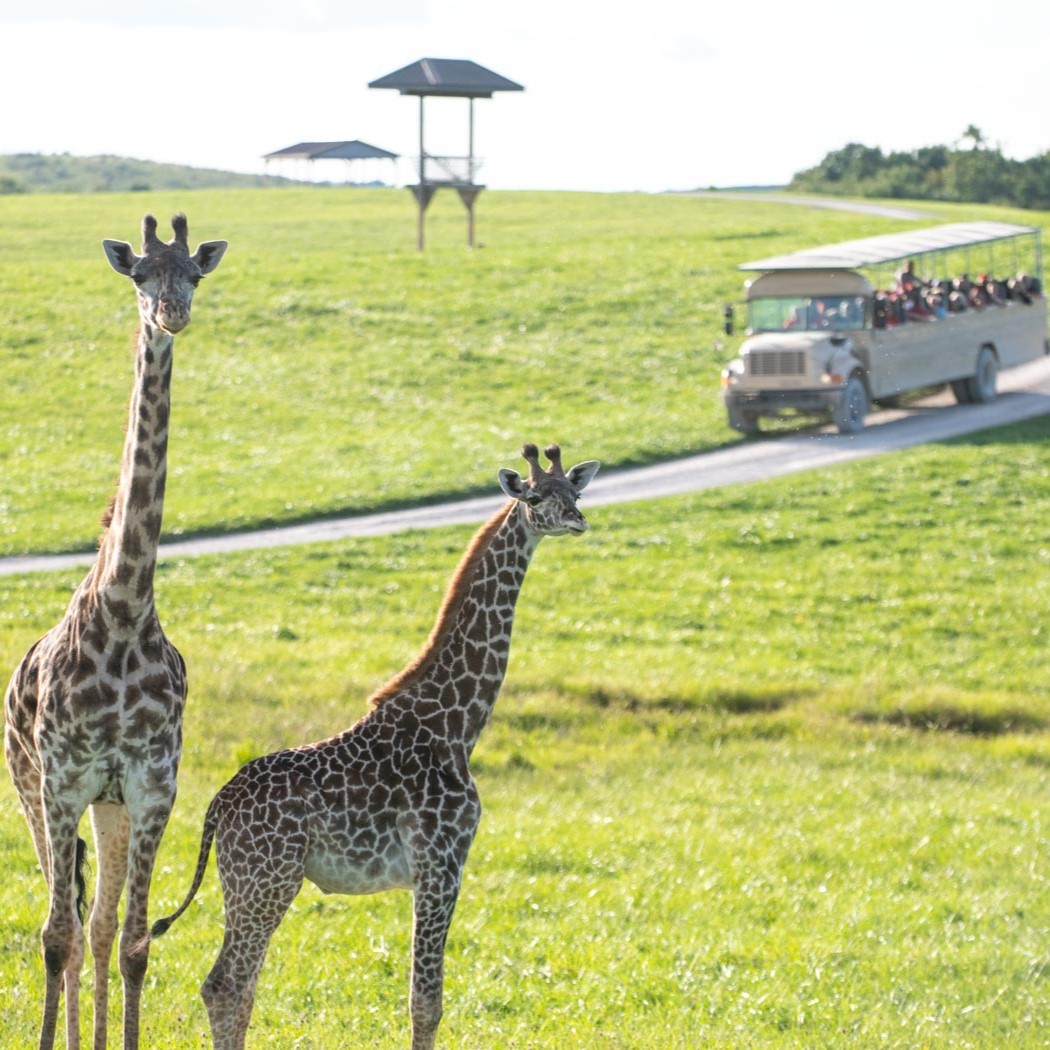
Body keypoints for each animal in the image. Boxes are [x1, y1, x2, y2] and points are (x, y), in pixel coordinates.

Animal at [4, 215, 226, 1050]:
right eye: (139, 276)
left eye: (193, 274)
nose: (171, 316)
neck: (126, 608)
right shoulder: (62, 778)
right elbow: (54, 937)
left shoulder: (152, 782)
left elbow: (129, 942)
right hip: (30, 786)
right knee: (64, 921)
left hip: (111, 807)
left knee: (97, 924)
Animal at [153, 440, 604, 1050]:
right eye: (535, 497)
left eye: (573, 490)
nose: (577, 519)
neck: (457, 725)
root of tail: (217, 806)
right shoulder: (441, 861)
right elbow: (426, 1000)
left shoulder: (433, 869)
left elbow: (423, 996)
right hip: (267, 880)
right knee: (225, 983)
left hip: (245, 883)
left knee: (236, 986)